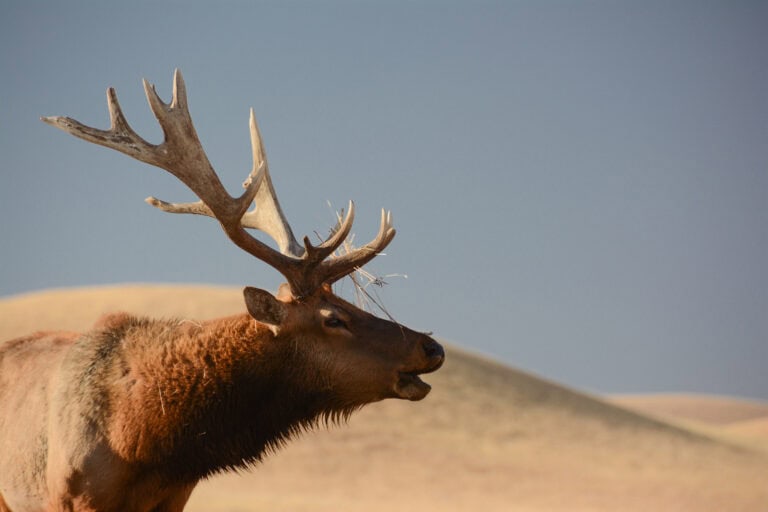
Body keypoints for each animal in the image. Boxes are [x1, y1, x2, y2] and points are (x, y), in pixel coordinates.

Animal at [0, 70, 444, 512]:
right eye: (334, 318)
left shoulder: (173, 498)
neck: (144, 440)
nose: (431, 347)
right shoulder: (71, 495)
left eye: (344, 302)